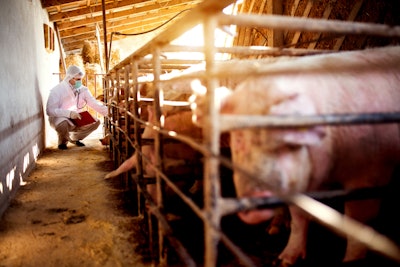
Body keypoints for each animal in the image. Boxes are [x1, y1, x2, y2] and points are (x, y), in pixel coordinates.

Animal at [192, 45, 400, 266]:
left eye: (285, 140)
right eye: (239, 138)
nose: (256, 201)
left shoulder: (372, 172)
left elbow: (357, 222)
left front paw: (351, 261)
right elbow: (299, 217)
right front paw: (284, 260)